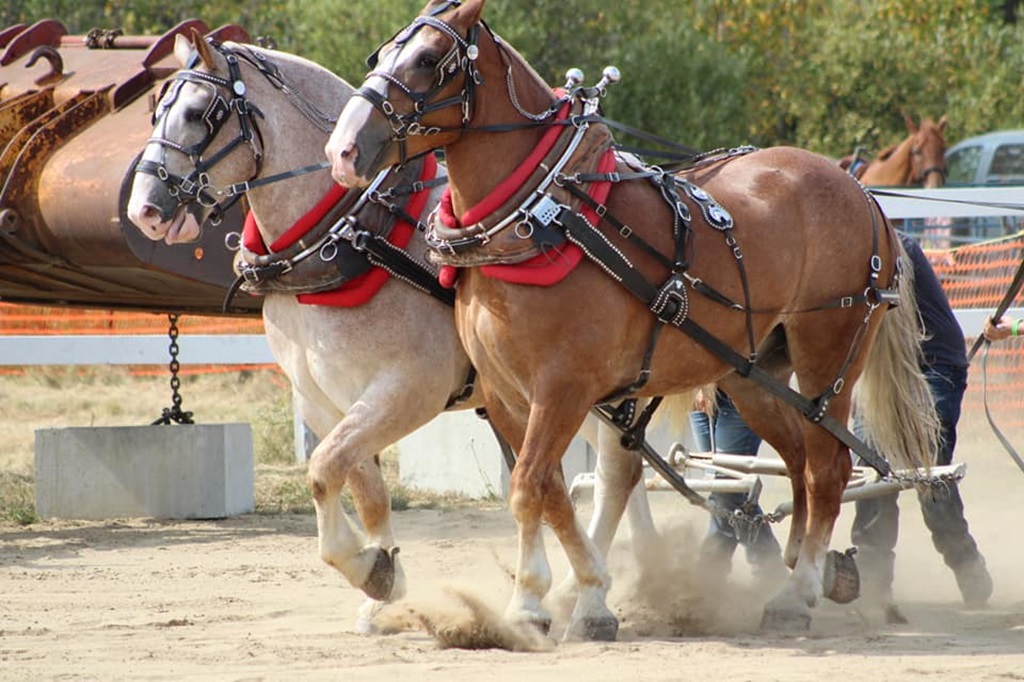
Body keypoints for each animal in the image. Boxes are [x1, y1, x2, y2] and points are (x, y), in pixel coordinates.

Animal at [125, 31, 667, 633]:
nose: (144, 210)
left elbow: (323, 469)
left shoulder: (408, 390)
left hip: (569, 382)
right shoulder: (324, 400)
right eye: (156, 111)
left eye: (199, 114)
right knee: (618, 467)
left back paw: (588, 593)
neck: (353, 235)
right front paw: (381, 579)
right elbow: (361, 488)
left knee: (615, 468)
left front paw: (370, 569)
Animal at [325, 0, 940, 639]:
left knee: (828, 469)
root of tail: (862, 193)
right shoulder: (505, 395)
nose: (342, 151)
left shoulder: (563, 389)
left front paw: (536, 604)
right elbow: (548, 492)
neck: (544, 216)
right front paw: (565, 594)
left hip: (828, 358)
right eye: (380, 54)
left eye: (426, 59)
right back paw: (798, 569)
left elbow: (528, 487)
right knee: (797, 463)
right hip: (751, 375)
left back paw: (797, 593)